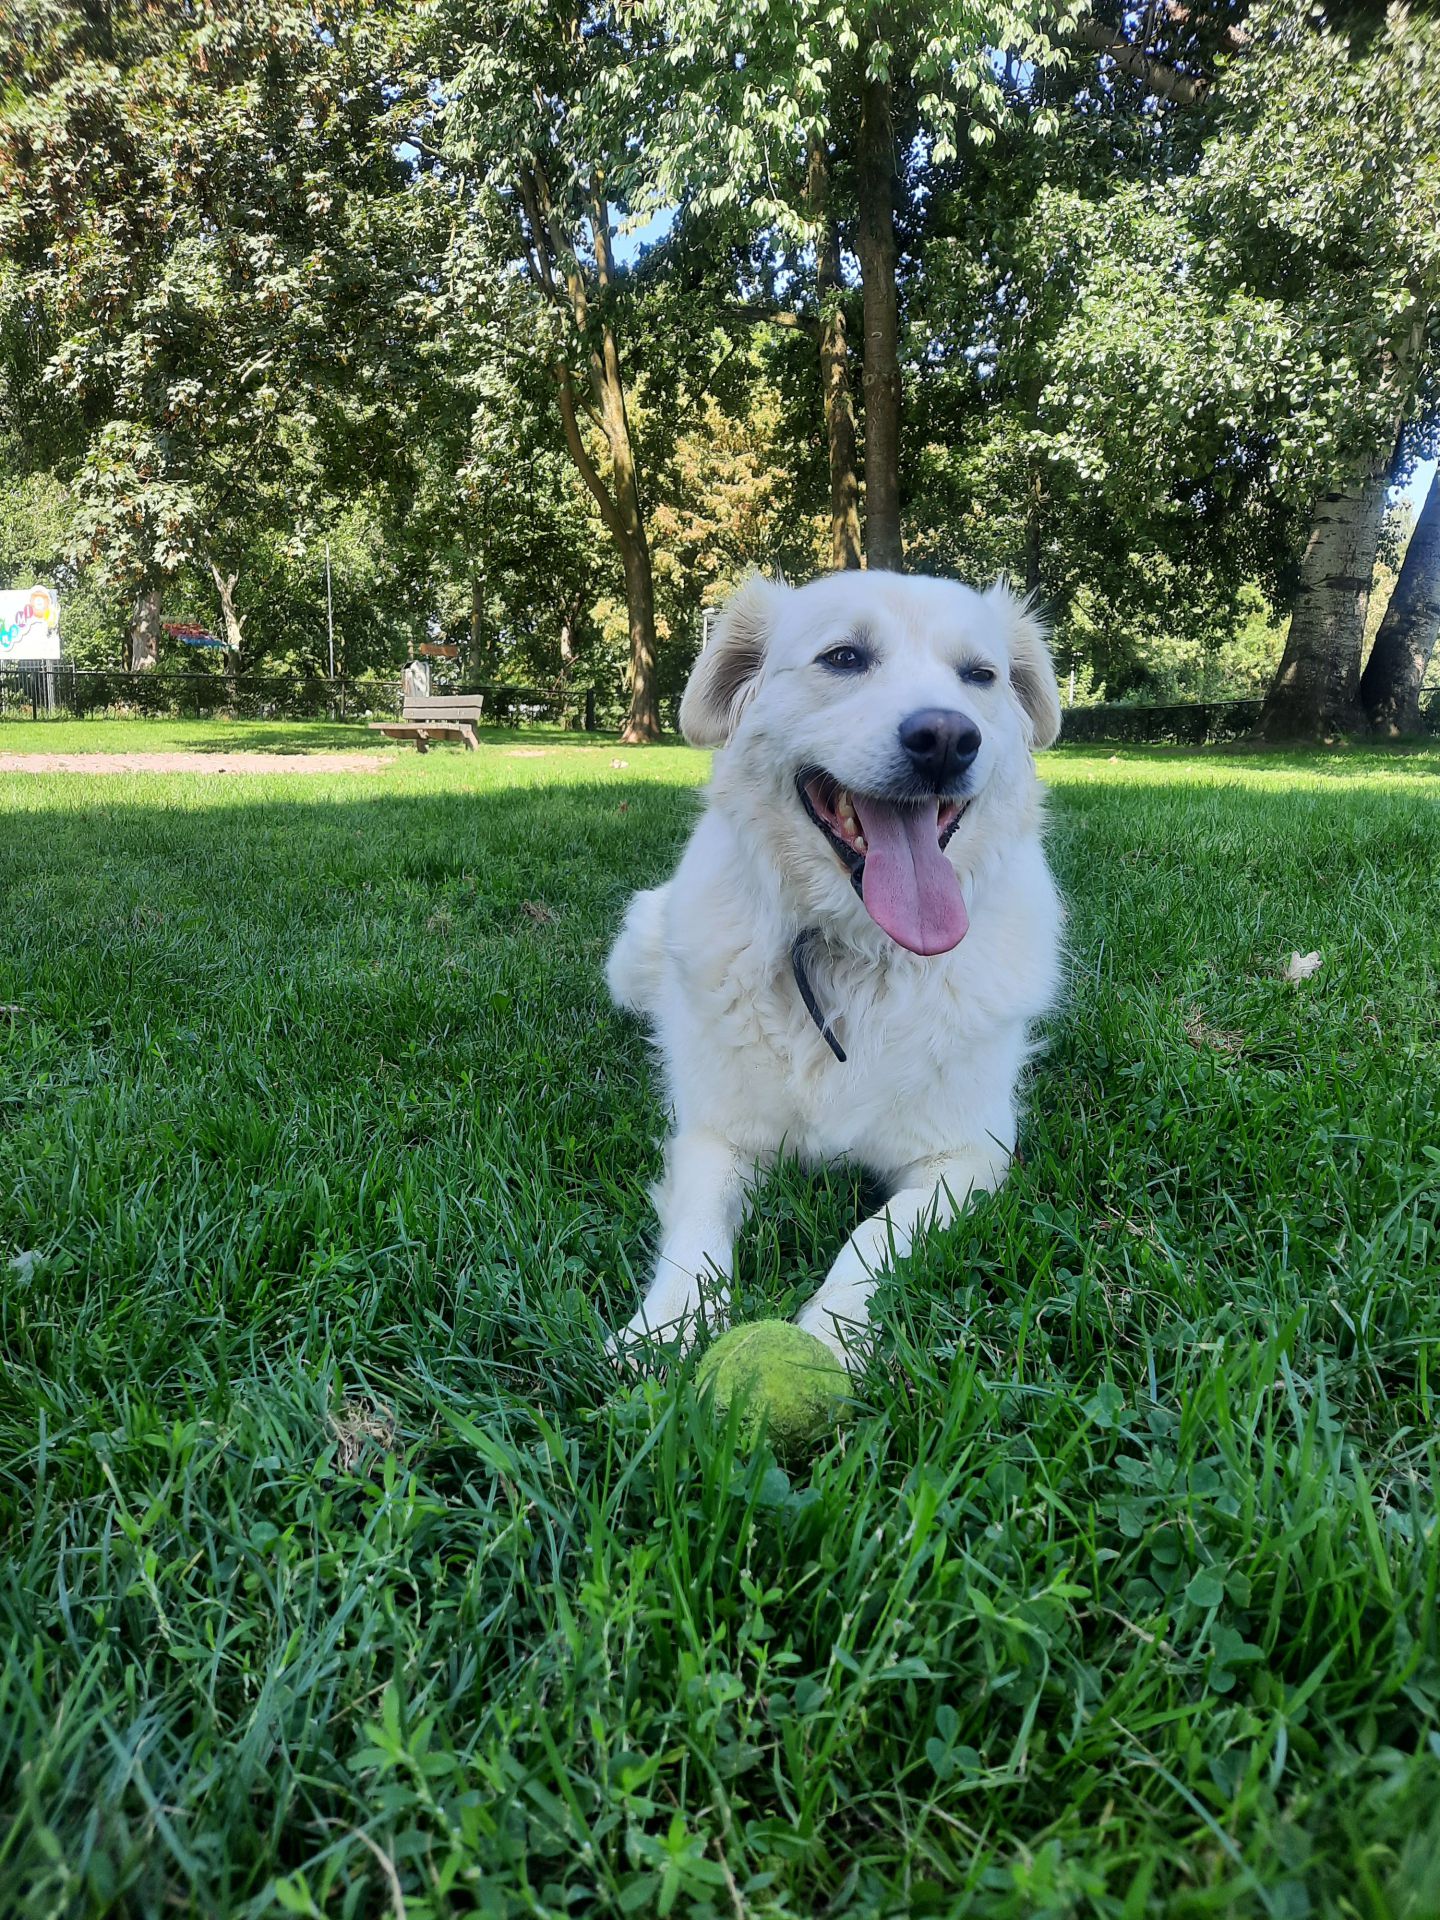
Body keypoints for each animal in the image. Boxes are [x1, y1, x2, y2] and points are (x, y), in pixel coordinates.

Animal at [605, 569, 1063, 1367]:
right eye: (845, 658)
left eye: (980, 676)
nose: (947, 739)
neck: (858, 954)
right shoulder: (717, 1136)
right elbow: (697, 1239)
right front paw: (661, 1331)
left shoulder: (966, 1157)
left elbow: (872, 1236)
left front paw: (828, 1336)